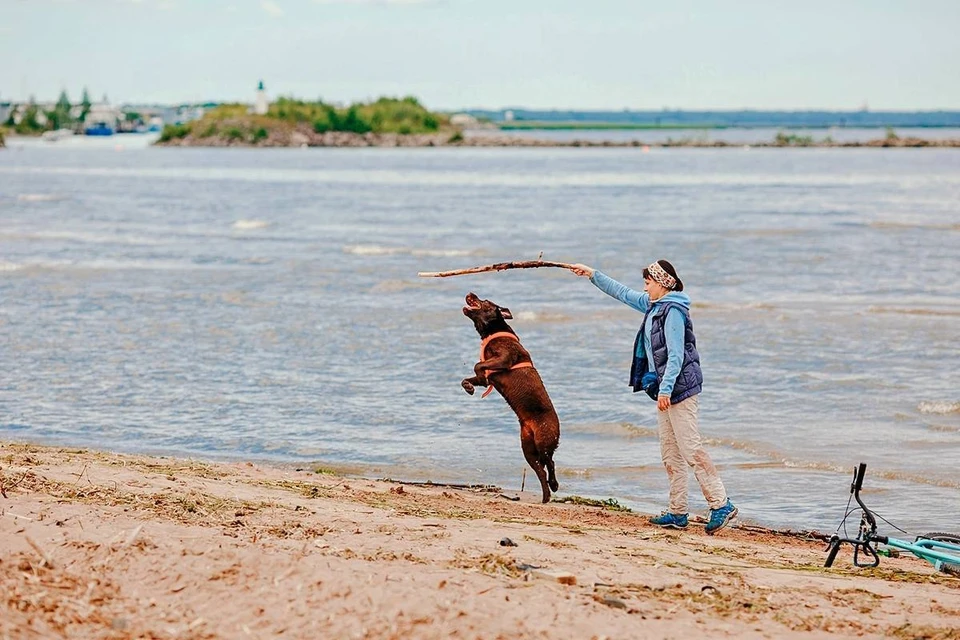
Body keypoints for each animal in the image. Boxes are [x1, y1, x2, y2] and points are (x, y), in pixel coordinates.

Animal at [462, 292, 560, 502]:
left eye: (485, 301)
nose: (470, 293)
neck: (492, 332)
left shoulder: (505, 357)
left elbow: (477, 365)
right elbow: (474, 376)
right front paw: (468, 386)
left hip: (544, 441)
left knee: (550, 462)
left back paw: (554, 485)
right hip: (528, 449)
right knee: (541, 470)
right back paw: (546, 495)